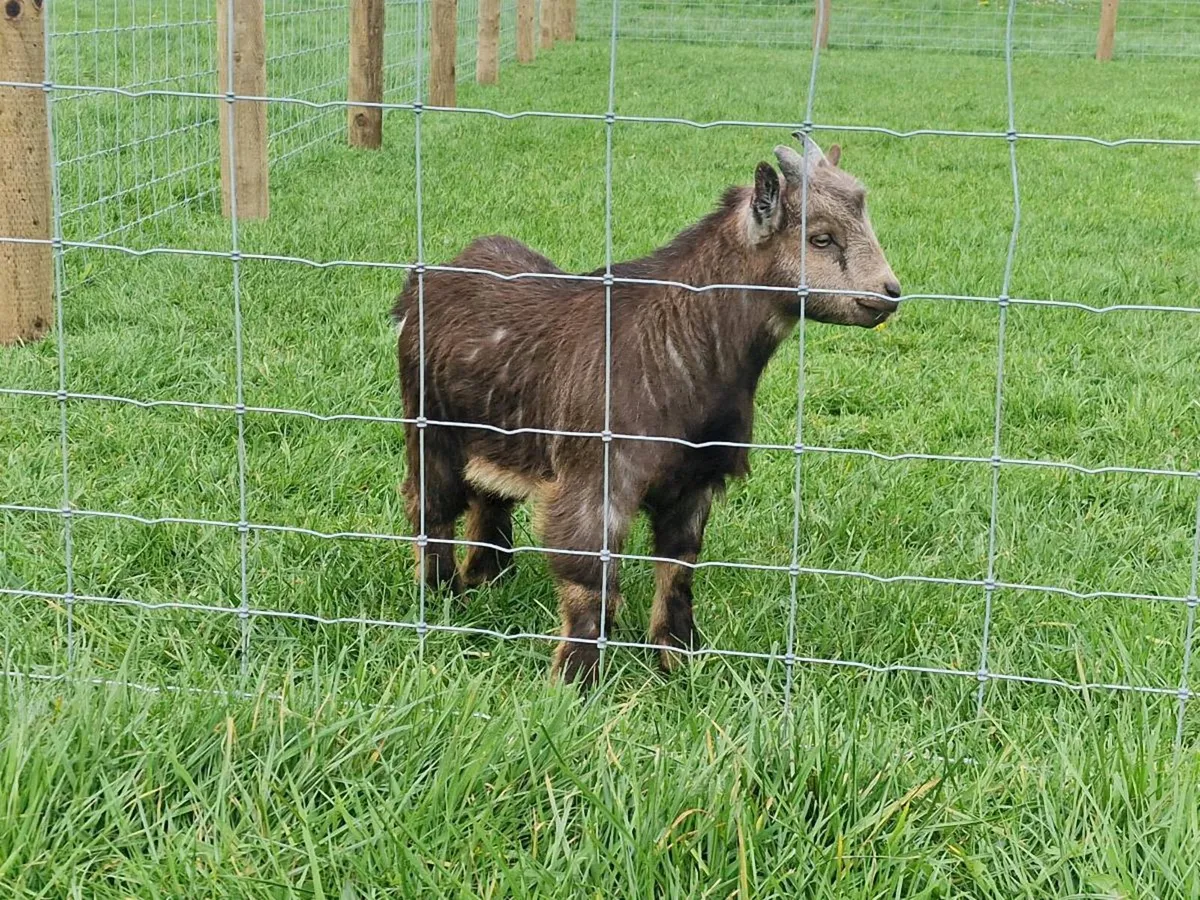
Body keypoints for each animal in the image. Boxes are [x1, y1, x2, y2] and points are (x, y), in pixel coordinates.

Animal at [391, 134, 901, 687]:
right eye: (821, 238)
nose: (890, 293)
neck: (679, 343)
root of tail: (422, 284)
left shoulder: (696, 480)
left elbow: (679, 568)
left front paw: (681, 658)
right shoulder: (597, 477)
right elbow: (589, 577)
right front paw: (574, 682)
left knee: (490, 496)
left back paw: (489, 580)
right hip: (429, 426)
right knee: (430, 503)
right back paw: (442, 596)